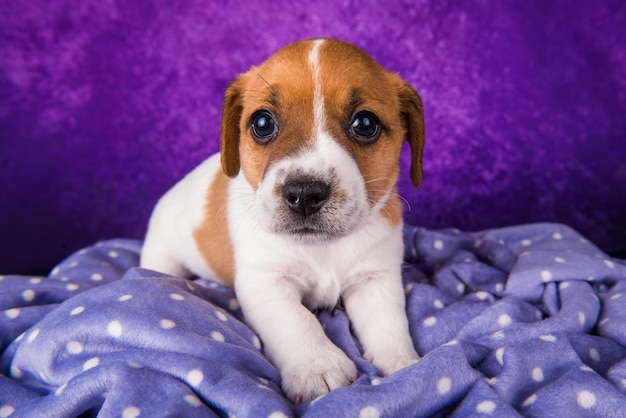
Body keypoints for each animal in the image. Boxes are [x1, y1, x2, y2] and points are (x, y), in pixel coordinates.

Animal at [141, 38, 424, 402]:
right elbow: (297, 321)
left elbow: (387, 321)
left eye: (364, 124)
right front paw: (317, 366)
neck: (322, 249)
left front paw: (403, 363)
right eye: (262, 124)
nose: (304, 193)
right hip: (162, 256)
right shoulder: (267, 283)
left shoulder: (375, 278)